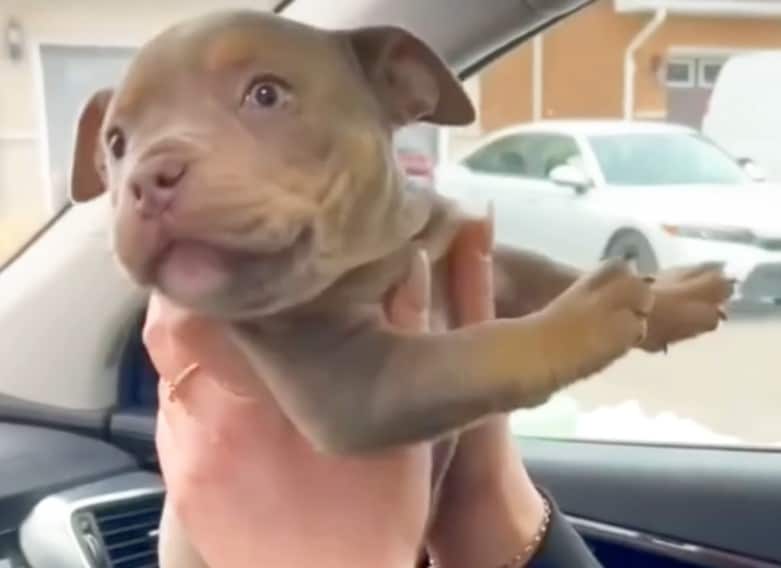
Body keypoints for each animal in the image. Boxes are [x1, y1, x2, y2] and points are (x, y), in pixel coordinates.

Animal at [68, 8, 732, 452]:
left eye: (266, 94)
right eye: (116, 143)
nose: (148, 176)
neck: (378, 250)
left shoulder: (481, 256)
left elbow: (549, 269)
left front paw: (671, 296)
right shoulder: (359, 383)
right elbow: (475, 351)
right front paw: (580, 322)